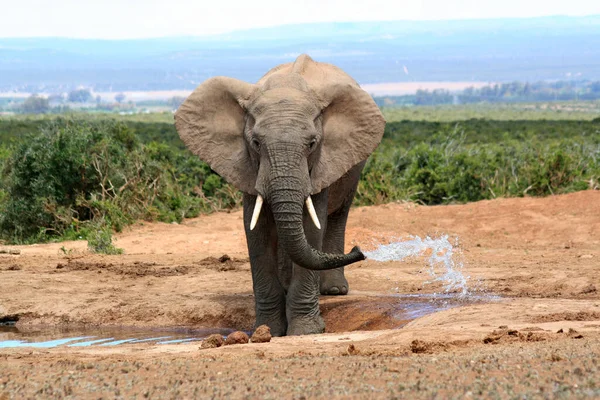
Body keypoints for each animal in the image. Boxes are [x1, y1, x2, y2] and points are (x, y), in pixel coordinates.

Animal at [176, 52, 386, 334]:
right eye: (255, 143)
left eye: (312, 144)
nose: (360, 250)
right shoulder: (248, 167)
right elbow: (256, 229)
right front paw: (268, 330)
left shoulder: (320, 165)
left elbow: (312, 226)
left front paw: (305, 332)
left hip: (352, 167)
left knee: (337, 215)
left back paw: (333, 290)